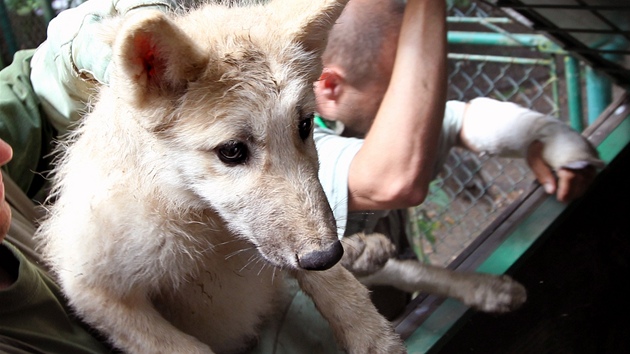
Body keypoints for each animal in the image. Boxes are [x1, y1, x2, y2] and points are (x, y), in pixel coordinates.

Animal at [37, 1, 408, 352]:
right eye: (231, 151)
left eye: (304, 126)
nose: (326, 256)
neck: (205, 224)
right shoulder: (92, 288)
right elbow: (187, 349)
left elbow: (339, 289)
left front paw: (373, 336)